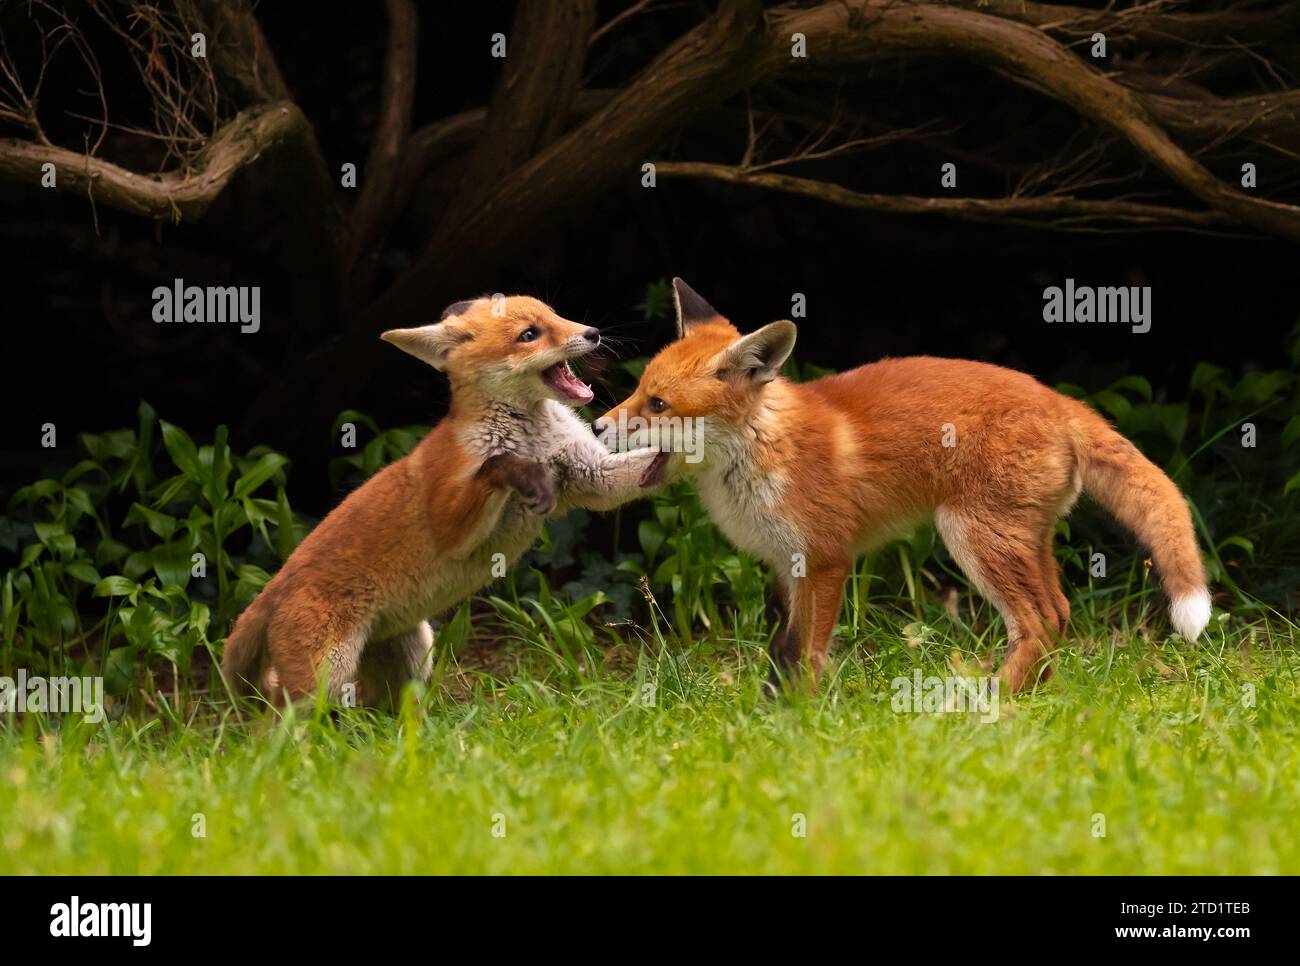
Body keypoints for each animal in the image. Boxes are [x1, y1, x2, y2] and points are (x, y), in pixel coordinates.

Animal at [222, 292, 660, 702]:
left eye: (555, 316)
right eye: (529, 335)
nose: (593, 333)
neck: (532, 438)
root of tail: (275, 581)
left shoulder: (593, 477)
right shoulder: (450, 527)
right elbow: (495, 466)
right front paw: (518, 471)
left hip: (411, 655)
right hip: (323, 680)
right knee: (275, 722)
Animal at [595, 279, 1211, 696]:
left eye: (658, 406)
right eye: (638, 390)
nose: (598, 427)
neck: (763, 451)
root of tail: (1060, 401)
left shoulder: (826, 559)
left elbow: (809, 653)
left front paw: (804, 717)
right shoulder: (787, 566)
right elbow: (782, 652)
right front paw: (773, 710)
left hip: (974, 537)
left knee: (1038, 622)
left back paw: (994, 704)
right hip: (1023, 540)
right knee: (1059, 614)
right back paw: (1033, 693)